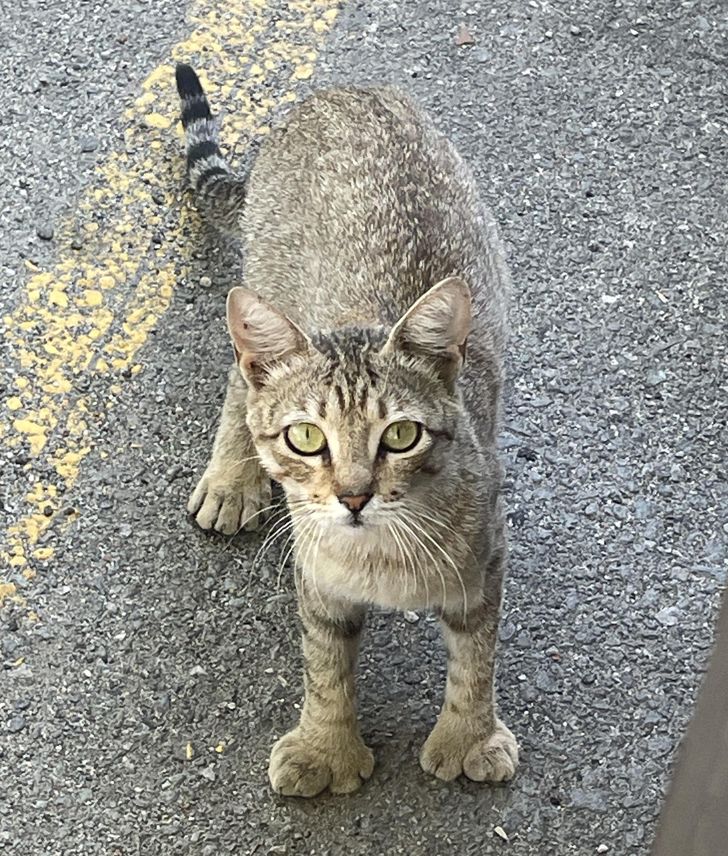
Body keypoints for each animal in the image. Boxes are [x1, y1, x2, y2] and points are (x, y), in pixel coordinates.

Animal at [175, 61, 516, 796]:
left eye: (401, 436)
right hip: (263, 285)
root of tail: (340, 91)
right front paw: (326, 746)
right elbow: (325, 667)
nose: (354, 495)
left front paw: (468, 736)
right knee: (240, 381)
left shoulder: (484, 565)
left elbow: (476, 659)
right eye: (306, 438)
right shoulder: (320, 580)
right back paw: (231, 476)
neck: (381, 555)